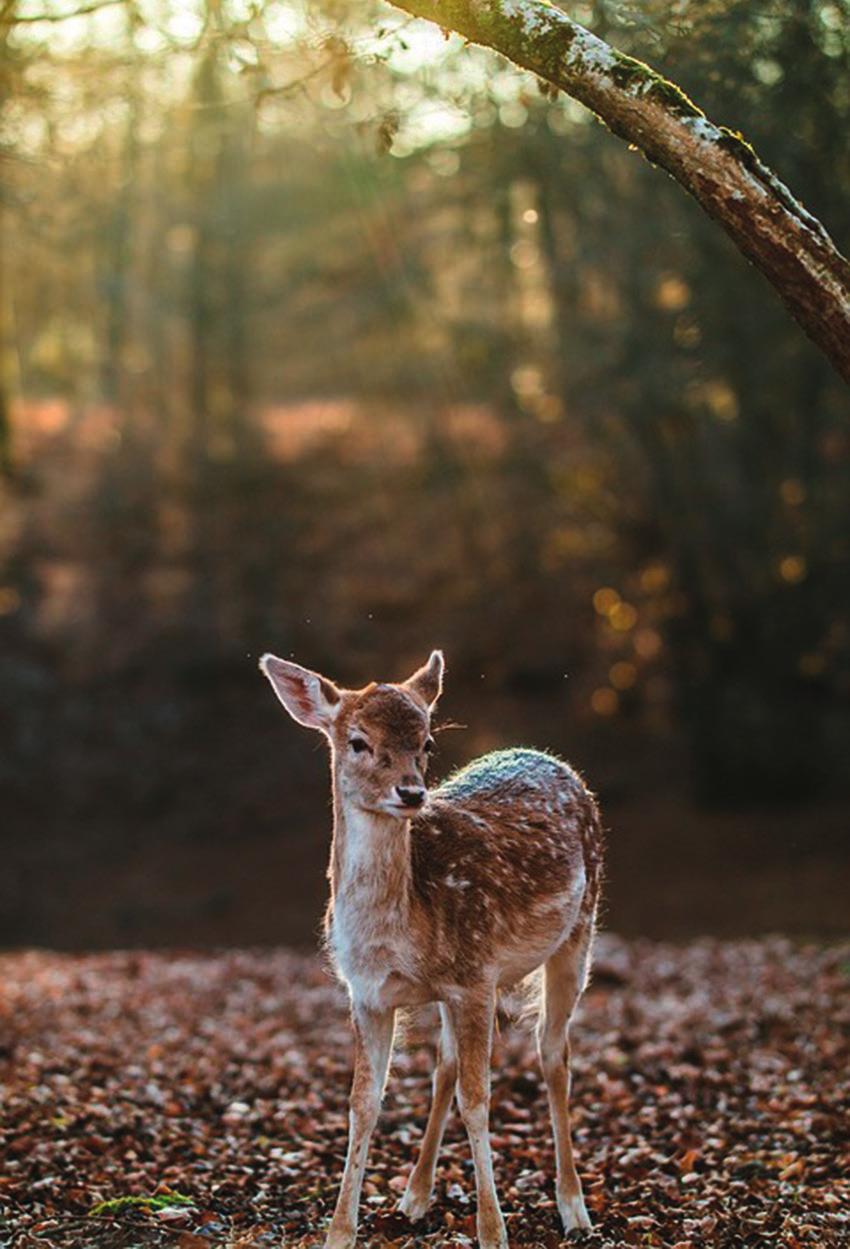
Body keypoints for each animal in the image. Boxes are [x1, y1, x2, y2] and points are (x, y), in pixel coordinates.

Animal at [262, 649, 599, 1249]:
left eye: (427, 743)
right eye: (357, 741)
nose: (412, 792)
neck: (396, 936)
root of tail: (552, 759)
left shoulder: (477, 976)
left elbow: (478, 1100)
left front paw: (493, 1231)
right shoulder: (367, 995)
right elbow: (363, 1103)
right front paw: (340, 1232)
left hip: (579, 931)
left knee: (553, 1056)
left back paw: (574, 1208)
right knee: (444, 1066)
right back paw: (415, 1196)